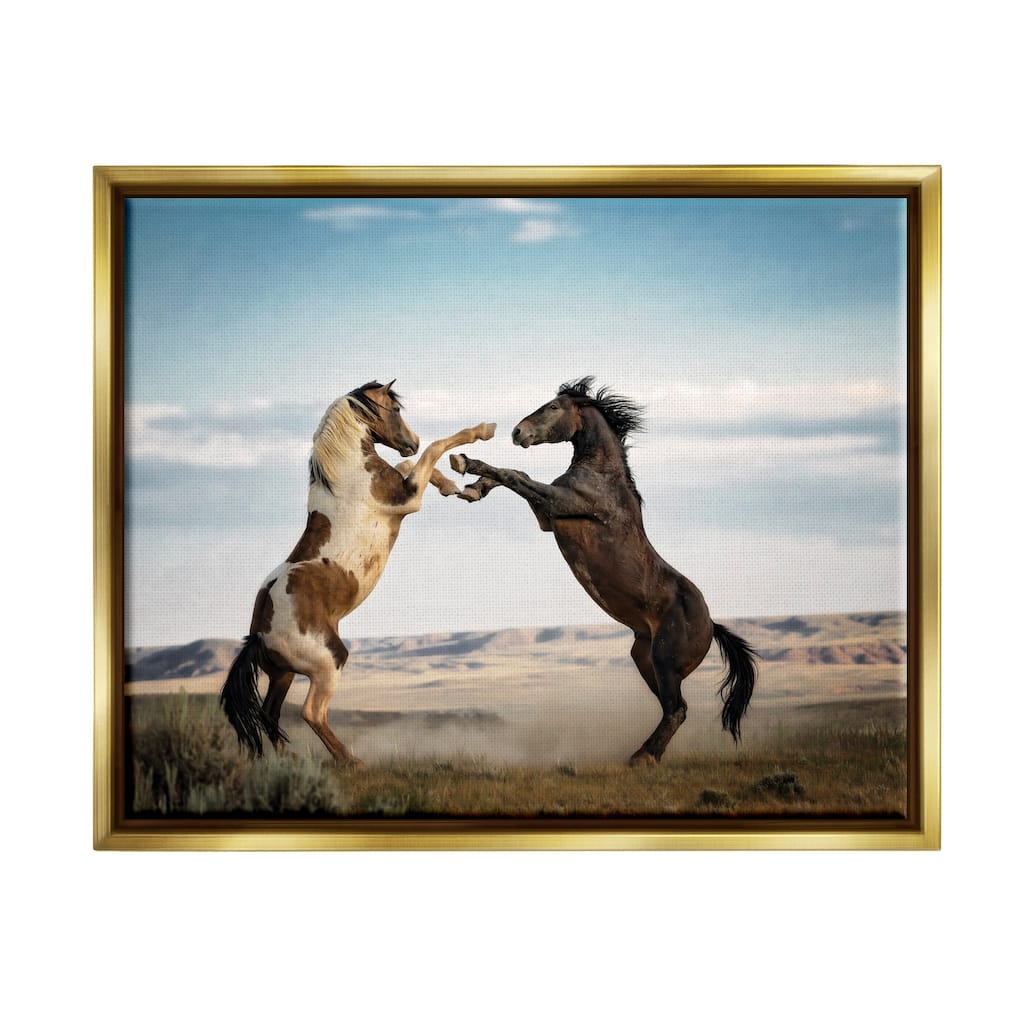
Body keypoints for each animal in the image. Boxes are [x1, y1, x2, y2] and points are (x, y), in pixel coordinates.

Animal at [221, 380, 495, 765]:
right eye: (395, 410)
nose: (412, 439)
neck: (349, 474)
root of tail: (258, 634)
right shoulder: (408, 499)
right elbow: (435, 448)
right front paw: (483, 431)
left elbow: (411, 462)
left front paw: (454, 487)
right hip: (328, 662)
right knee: (311, 712)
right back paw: (351, 762)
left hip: (283, 674)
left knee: (271, 715)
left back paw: (293, 761)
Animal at [450, 376, 757, 766]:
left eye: (553, 407)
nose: (518, 432)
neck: (602, 476)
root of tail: (711, 624)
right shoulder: (548, 517)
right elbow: (517, 476)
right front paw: (473, 489)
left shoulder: (559, 503)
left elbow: (515, 474)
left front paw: (465, 462)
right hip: (645, 658)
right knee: (673, 708)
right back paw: (644, 754)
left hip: (665, 660)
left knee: (677, 709)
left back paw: (641, 758)